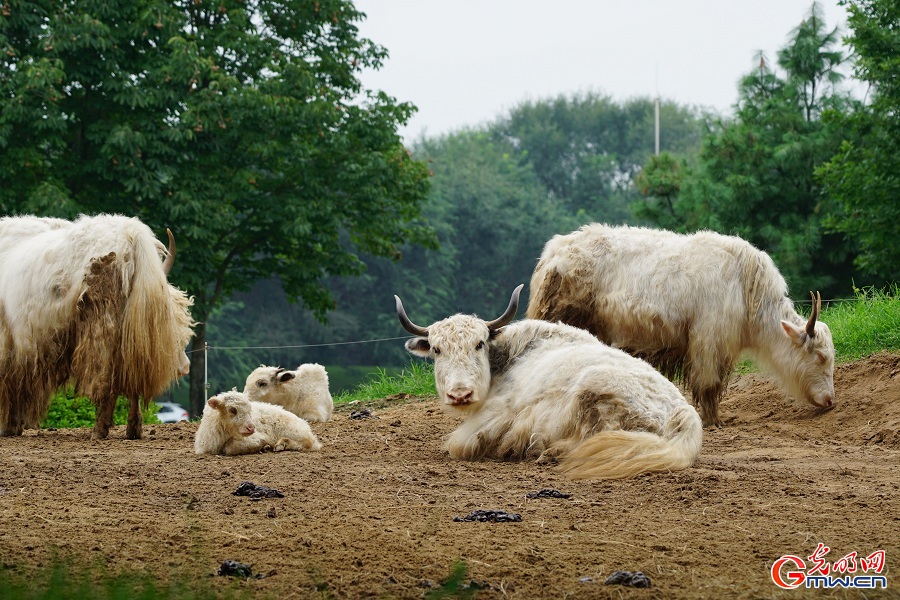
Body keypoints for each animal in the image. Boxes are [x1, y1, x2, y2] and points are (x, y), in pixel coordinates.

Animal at [192, 390, 322, 454]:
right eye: (232, 410)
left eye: (250, 409)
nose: (251, 428)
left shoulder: (256, 437)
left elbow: (230, 449)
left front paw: (264, 445)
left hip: (295, 432)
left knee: (306, 444)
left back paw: (281, 444)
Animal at [396, 284, 704, 478]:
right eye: (437, 349)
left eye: (479, 344)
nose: (460, 394)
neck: (508, 358)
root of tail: (684, 413)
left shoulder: (491, 420)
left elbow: (457, 445)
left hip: (594, 389)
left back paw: (549, 451)